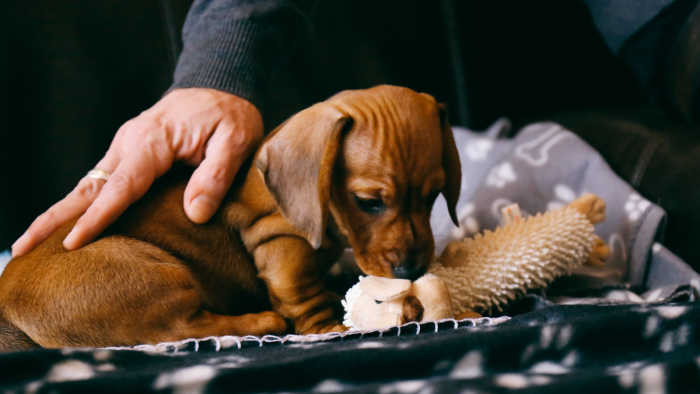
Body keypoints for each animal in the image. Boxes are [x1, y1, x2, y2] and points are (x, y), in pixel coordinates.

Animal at [0, 84, 460, 350]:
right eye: (368, 202)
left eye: (433, 195)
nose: (412, 270)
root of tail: (8, 312)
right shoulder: (280, 245)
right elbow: (302, 295)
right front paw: (330, 327)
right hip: (159, 275)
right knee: (181, 329)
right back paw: (262, 320)